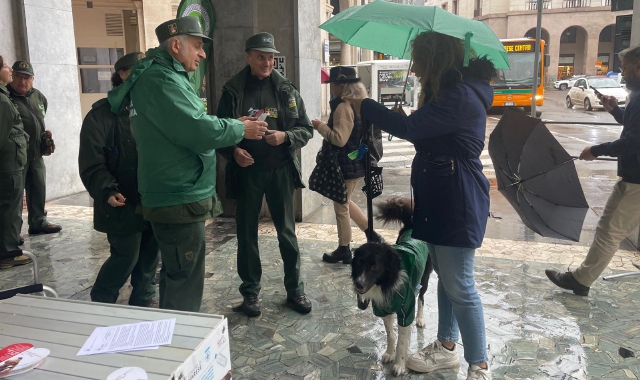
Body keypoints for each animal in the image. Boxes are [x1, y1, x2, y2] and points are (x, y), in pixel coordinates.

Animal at [350, 197, 436, 376]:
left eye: (375, 266)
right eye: (359, 263)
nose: (358, 283)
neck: (385, 283)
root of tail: (411, 224)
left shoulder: (405, 312)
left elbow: (402, 341)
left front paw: (399, 365)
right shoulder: (384, 309)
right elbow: (390, 335)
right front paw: (390, 353)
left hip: (424, 278)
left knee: (421, 298)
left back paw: (420, 318)